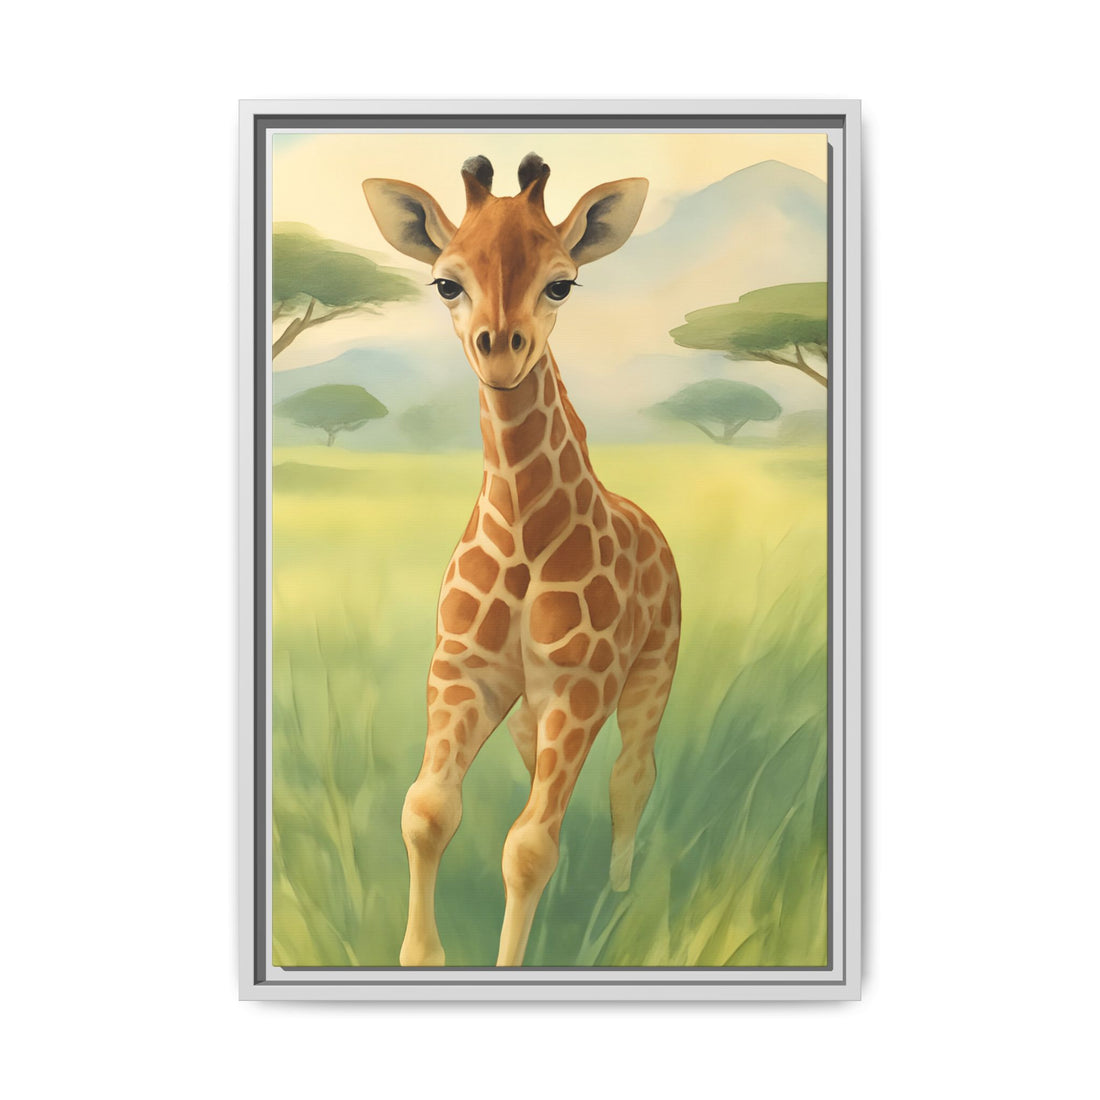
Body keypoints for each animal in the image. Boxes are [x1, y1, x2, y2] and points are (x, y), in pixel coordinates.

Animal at [362, 153, 681, 967]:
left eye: (561, 282)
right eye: (446, 282)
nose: (498, 349)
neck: (524, 538)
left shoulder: (581, 686)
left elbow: (529, 846)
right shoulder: (463, 671)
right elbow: (426, 811)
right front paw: (421, 956)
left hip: (652, 670)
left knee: (633, 775)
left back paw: (619, 895)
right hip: (528, 709)